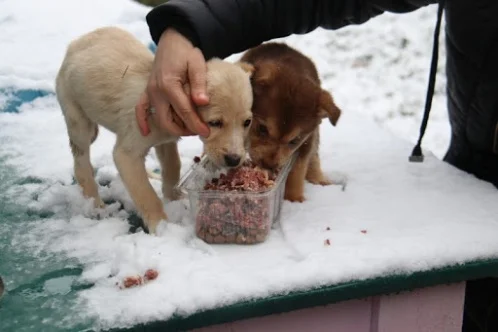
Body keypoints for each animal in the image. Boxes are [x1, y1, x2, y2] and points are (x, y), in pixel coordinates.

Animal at [241, 41, 342, 202]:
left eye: (294, 141)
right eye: (262, 129)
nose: (269, 166)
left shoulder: (306, 142)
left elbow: (297, 171)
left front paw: (295, 199)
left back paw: (319, 180)